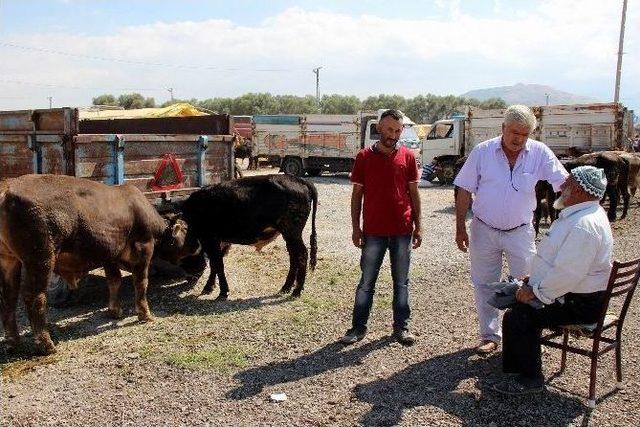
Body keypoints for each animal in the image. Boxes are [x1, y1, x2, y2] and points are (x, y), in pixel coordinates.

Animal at [0, 174, 184, 354]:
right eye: (185, 233)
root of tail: (7, 187)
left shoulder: (110, 255)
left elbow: (114, 281)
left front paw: (114, 311)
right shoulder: (144, 247)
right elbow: (141, 282)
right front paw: (145, 314)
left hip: (9, 260)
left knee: (9, 296)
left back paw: (13, 342)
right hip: (40, 258)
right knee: (34, 297)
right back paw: (46, 345)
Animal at [165, 174, 318, 300]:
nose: (190, 275)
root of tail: (298, 179)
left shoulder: (210, 239)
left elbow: (218, 264)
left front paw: (223, 292)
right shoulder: (220, 241)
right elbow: (215, 264)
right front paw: (209, 287)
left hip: (292, 232)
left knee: (302, 255)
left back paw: (297, 290)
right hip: (289, 234)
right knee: (294, 257)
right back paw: (286, 287)